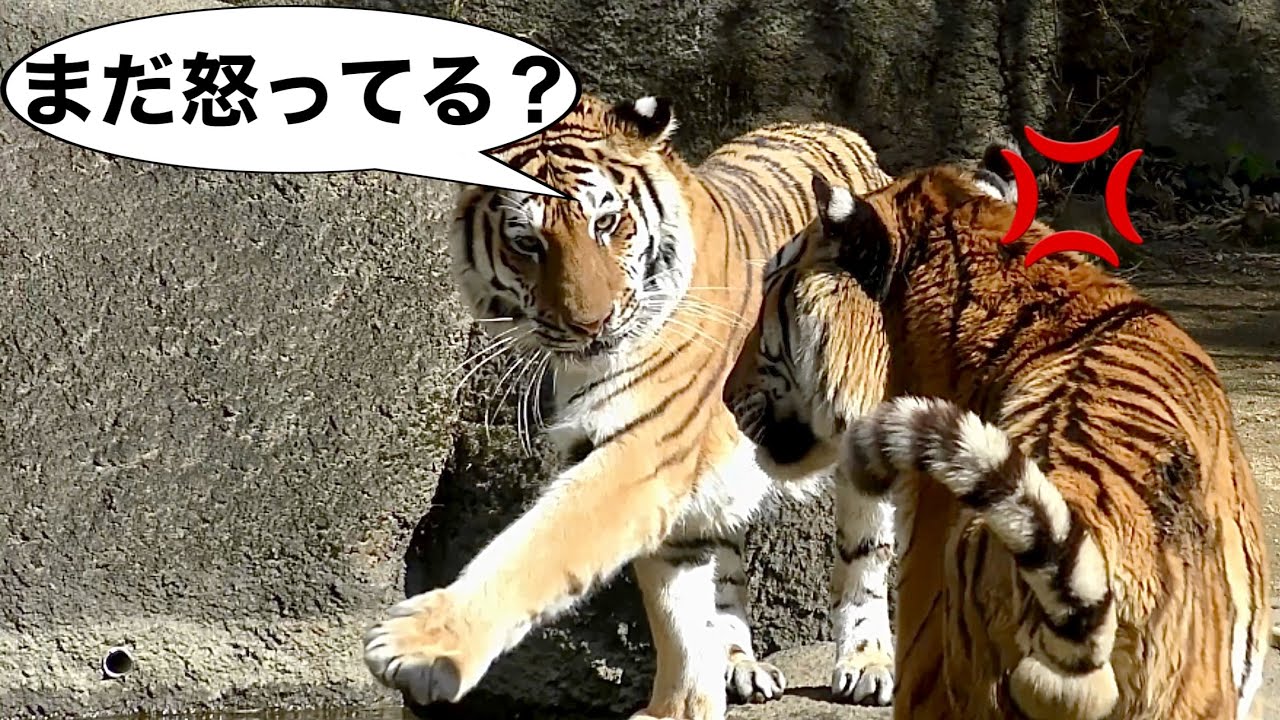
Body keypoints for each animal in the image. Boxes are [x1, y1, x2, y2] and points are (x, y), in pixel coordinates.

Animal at [359, 92, 899, 719]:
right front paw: (682, 706)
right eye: (527, 243)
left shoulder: (641, 452)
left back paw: (866, 665)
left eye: (605, 222)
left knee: (865, 556)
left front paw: (420, 645)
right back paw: (738, 666)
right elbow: (679, 613)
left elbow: (541, 544)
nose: (590, 325)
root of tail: (829, 126)